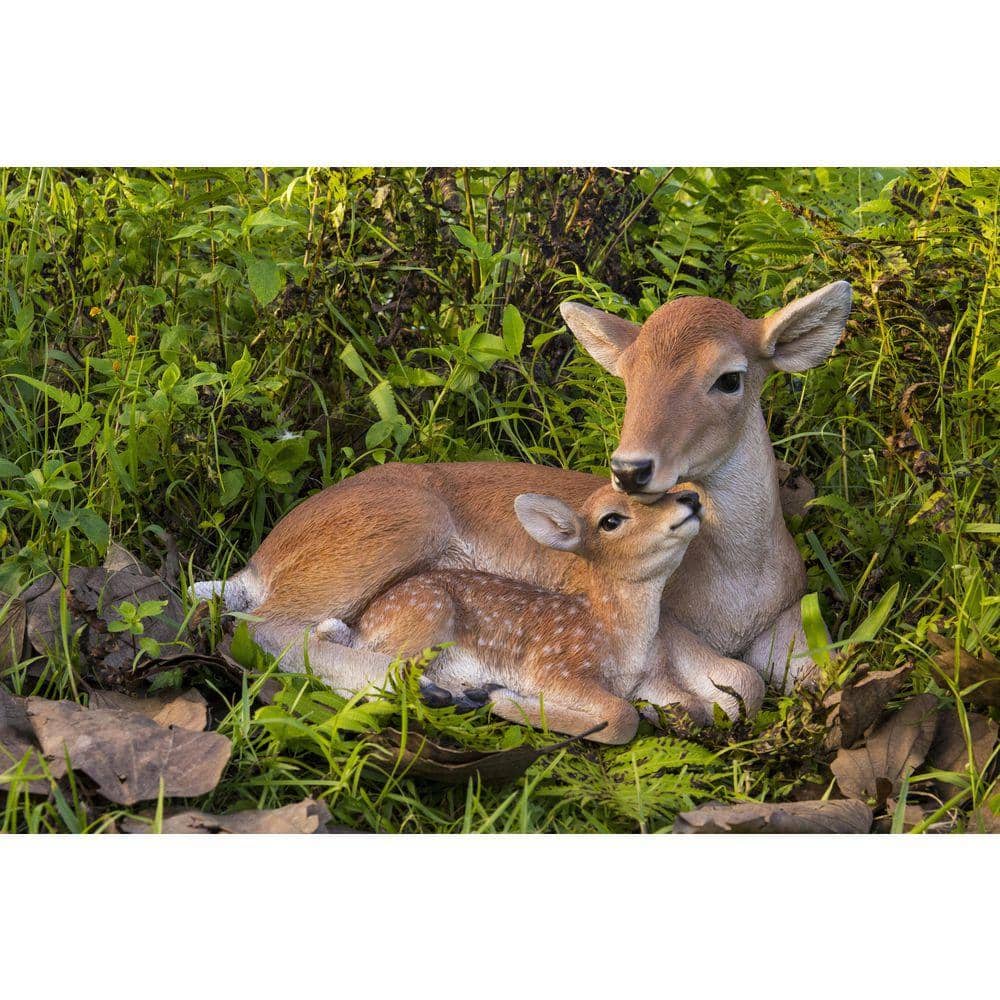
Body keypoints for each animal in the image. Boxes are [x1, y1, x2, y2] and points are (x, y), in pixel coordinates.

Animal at [336, 485, 726, 744]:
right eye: (610, 519)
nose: (690, 498)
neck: (622, 638)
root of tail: (364, 622)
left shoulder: (654, 676)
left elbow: (697, 707)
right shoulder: (555, 665)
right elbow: (622, 717)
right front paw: (503, 697)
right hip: (428, 611)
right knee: (374, 666)